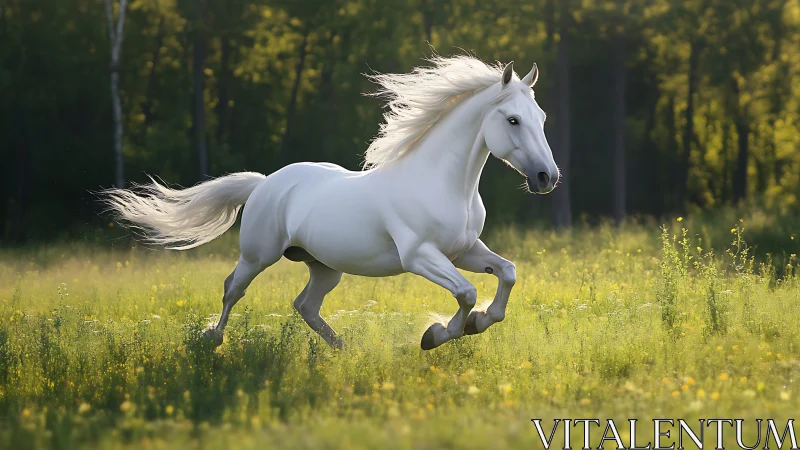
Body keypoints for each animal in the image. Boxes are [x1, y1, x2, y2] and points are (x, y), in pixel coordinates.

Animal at [103, 55, 559, 351]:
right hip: (258, 255)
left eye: (541, 118)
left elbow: (507, 273)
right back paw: (213, 339)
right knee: (233, 288)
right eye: (513, 120)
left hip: (325, 266)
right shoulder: (419, 256)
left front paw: (479, 322)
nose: (547, 178)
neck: (444, 184)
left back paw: (341, 349)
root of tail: (266, 183)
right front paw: (437, 335)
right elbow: (465, 292)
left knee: (305, 304)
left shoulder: (464, 250)